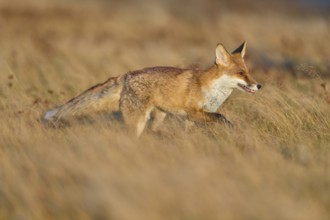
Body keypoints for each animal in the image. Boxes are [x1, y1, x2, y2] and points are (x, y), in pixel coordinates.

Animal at [43, 41, 260, 136]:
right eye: (241, 73)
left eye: (248, 72)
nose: (259, 85)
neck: (212, 90)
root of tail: (126, 74)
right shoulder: (194, 112)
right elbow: (221, 117)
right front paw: (231, 127)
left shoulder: (191, 118)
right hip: (138, 121)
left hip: (159, 115)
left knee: (154, 129)